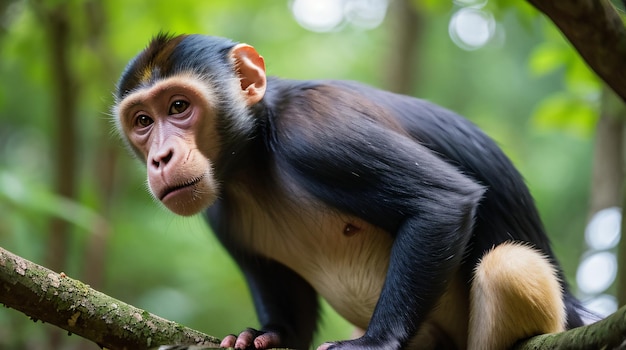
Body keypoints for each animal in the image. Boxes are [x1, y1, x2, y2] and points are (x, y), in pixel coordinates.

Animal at [112, 33, 584, 350]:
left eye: (178, 106)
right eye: (143, 121)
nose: (160, 158)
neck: (253, 157)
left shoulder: (317, 132)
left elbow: (443, 202)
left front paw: (376, 344)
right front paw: (260, 337)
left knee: (509, 266)